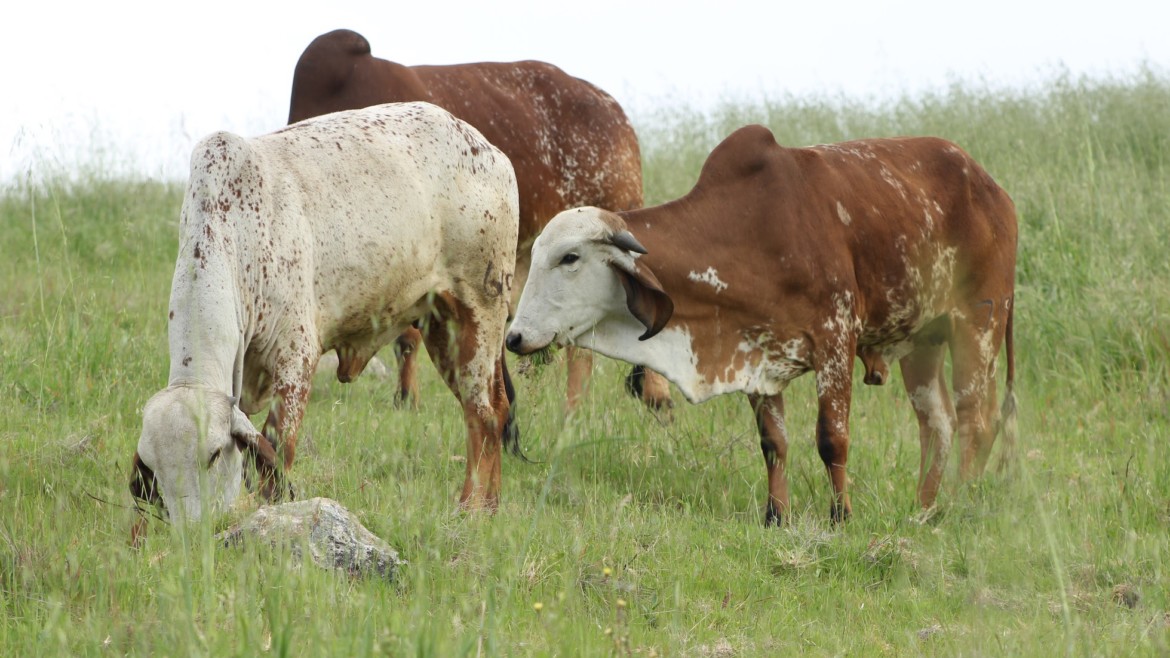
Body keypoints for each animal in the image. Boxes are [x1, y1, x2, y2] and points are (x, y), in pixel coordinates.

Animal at [129, 102, 520, 524]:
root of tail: (490, 151)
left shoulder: (295, 357)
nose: (191, 529)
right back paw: (492, 507)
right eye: (155, 469)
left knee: (484, 413)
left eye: (213, 454)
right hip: (440, 326)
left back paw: (471, 508)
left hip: (479, 311)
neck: (237, 233)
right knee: (491, 409)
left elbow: (277, 451)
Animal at [505, 124, 1018, 525]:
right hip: (922, 342)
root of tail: (992, 187)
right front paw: (776, 516)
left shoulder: (836, 339)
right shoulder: (755, 355)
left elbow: (832, 439)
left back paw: (957, 507)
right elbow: (774, 442)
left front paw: (841, 517)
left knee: (976, 420)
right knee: (937, 423)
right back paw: (924, 510)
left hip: (978, 325)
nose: (514, 337)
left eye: (570, 258)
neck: (751, 231)